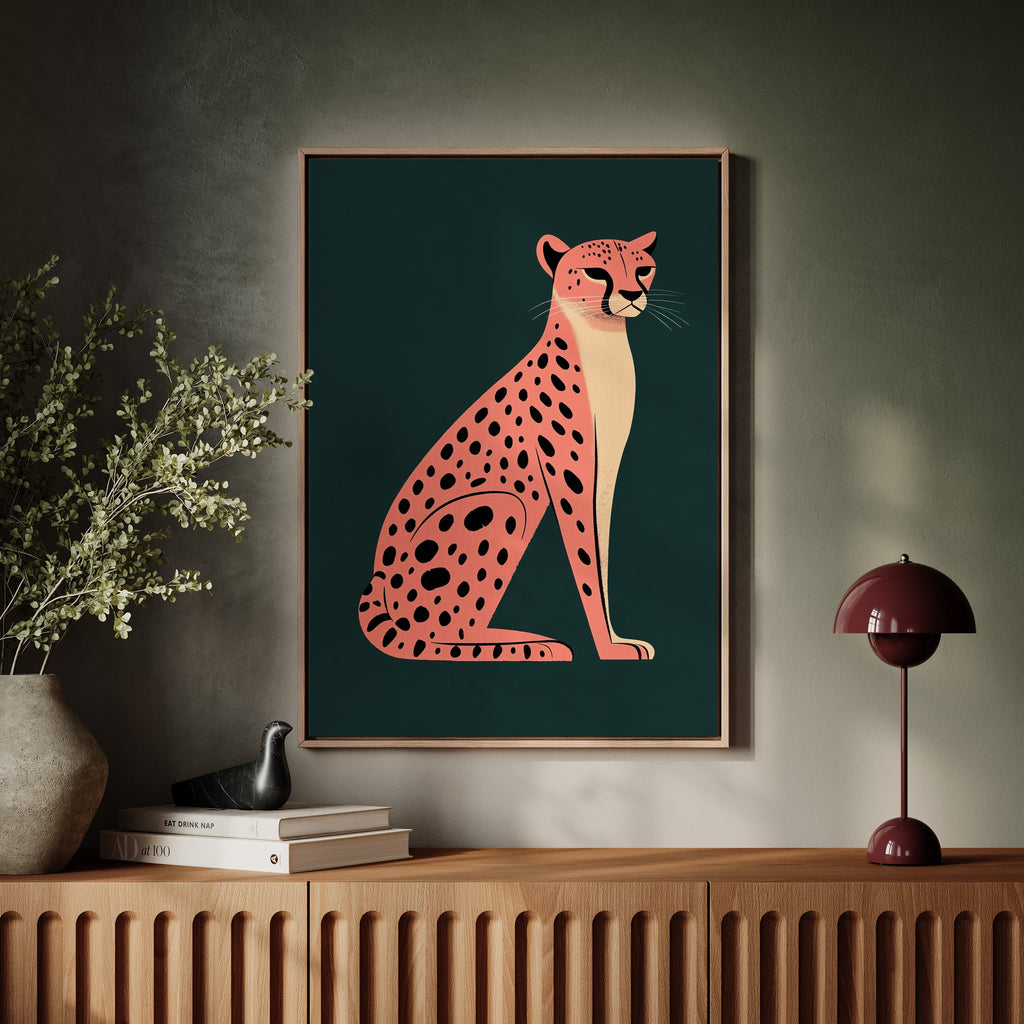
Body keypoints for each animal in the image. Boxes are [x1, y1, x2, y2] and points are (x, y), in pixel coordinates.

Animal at [358, 231, 661, 662]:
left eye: (642, 268)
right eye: (595, 271)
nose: (633, 294)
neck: (601, 339)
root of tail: (376, 580)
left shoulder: (605, 474)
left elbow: (601, 557)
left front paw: (617, 639)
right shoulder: (571, 478)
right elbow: (586, 559)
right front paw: (607, 648)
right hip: (501, 506)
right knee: (431, 636)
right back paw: (531, 645)